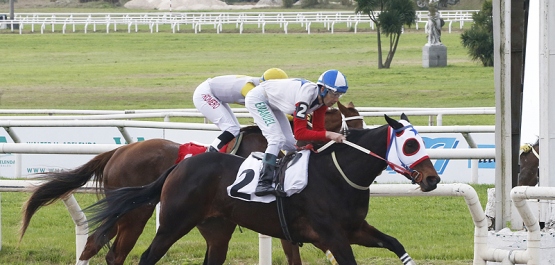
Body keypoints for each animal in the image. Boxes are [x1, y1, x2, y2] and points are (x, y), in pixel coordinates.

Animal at [89, 114, 440, 264]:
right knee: (141, 256)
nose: (432, 179)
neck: (336, 175)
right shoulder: (332, 235)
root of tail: (179, 166)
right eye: (410, 145)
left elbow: (394, 243)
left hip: (216, 227)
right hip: (170, 222)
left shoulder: (353, 230)